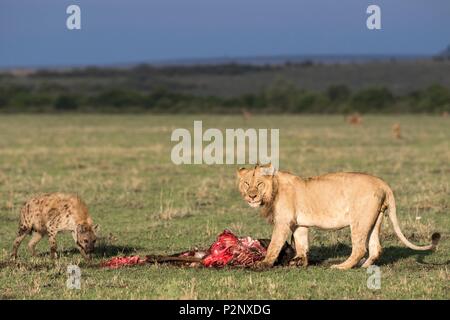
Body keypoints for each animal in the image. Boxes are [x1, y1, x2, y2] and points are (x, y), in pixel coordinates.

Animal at [237, 164, 442, 268]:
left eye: (259, 184)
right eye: (246, 184)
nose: (252, 196)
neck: (274, 189)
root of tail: (382, 183)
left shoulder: (282, 223)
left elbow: (274, 244)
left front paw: (264, 263)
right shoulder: (299, 224)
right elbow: (301, 243)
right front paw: (299, 262)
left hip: (359, 220)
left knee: (359, 248)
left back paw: (342, 266)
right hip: (375, 220)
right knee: (376, 248)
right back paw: (365, 266)